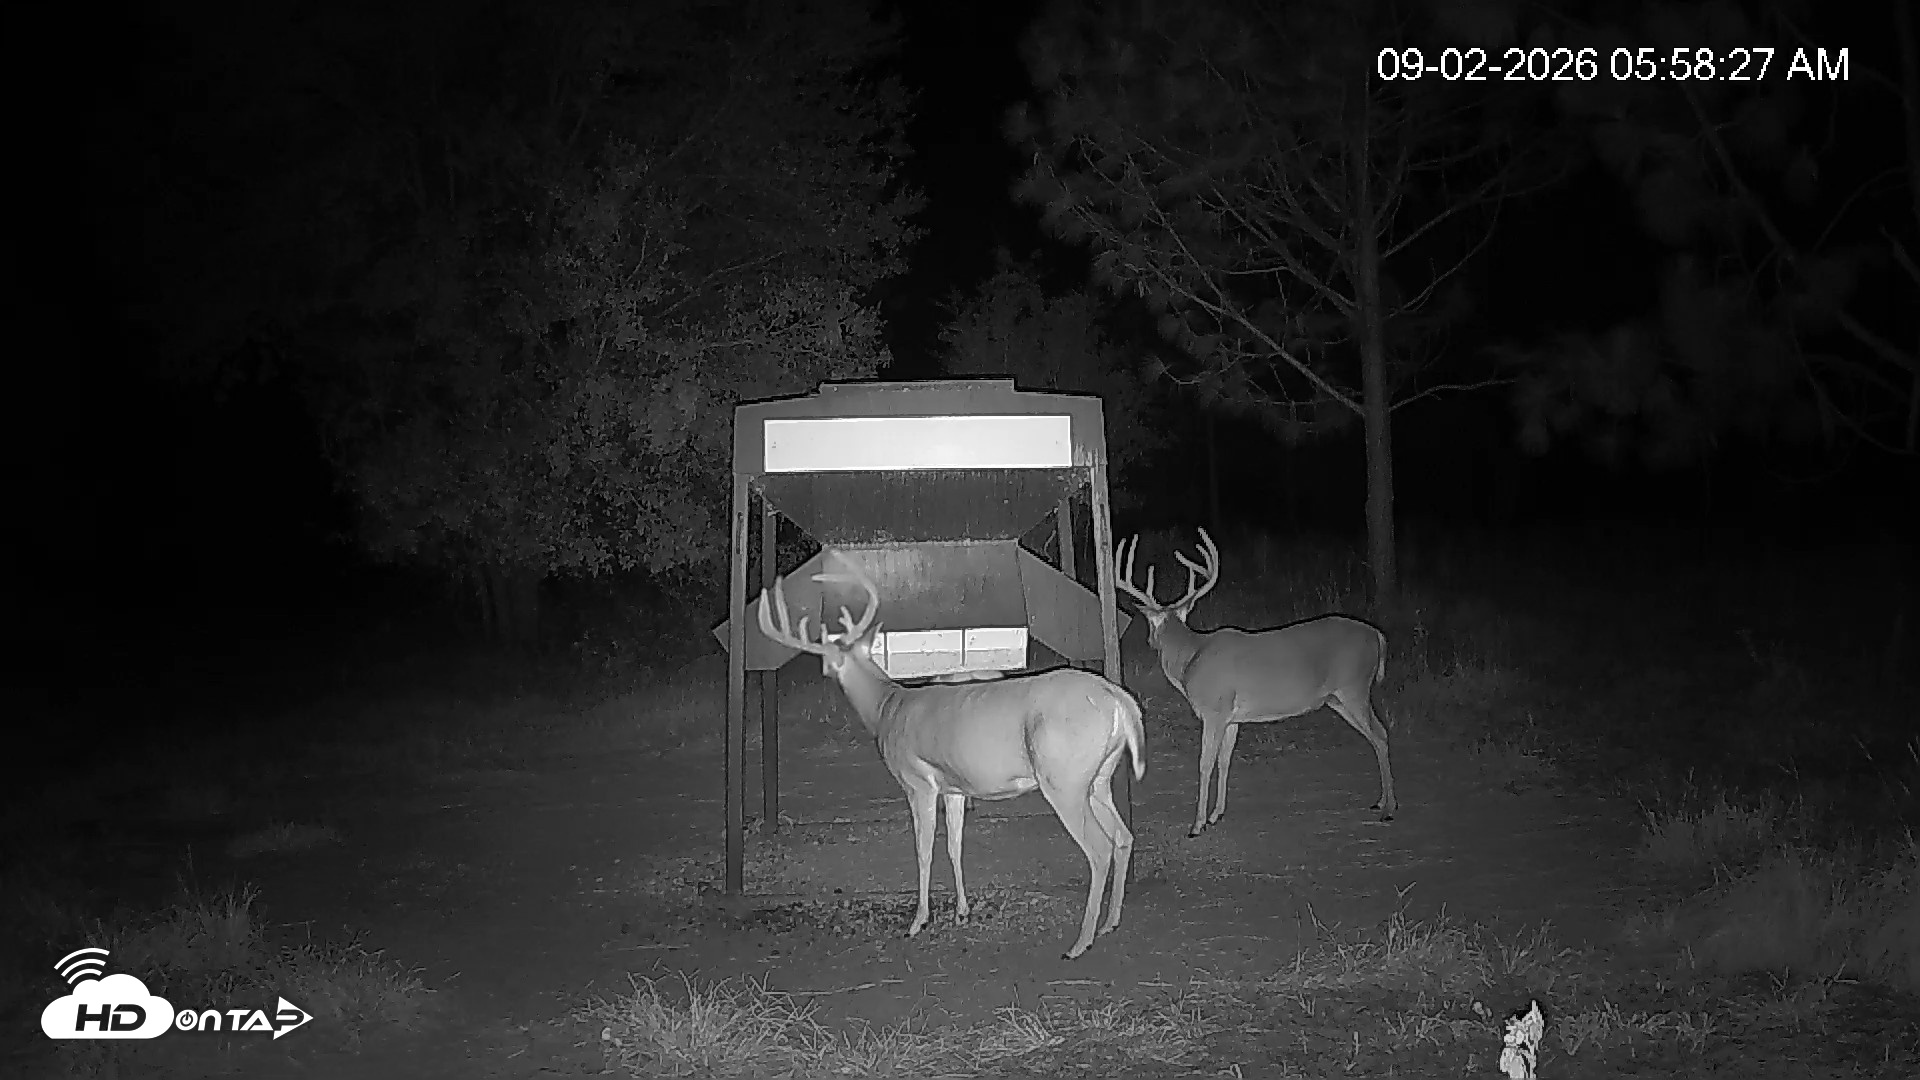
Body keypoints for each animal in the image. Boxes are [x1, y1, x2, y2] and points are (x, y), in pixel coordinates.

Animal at [756, 554, 1146, 960]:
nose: (828, 671)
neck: (886, 708)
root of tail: (1120, 700)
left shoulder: (917, 781)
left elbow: (924, 850)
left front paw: (918, 921)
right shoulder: (955, 787)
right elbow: (954, 845)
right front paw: (962, 911)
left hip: (1063, 778)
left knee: (1099, 848)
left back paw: (1081, 942)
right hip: (1098, 778)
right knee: (1123, 836)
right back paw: (1110, 923)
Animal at [1115, 528, 1397, 838]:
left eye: (1150, 624)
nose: (1149, 641)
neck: (1191, 658)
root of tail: (1378, 636)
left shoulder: (1214, 711)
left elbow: (1205, 764)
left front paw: (1197, 824)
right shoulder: (1232, 717)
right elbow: (1225, 760)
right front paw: (1216, 814)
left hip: (1355, 687)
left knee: (1381, 734)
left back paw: (1389, 809)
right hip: (1338, 698)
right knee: (1375, 735)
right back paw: (1380, 801)